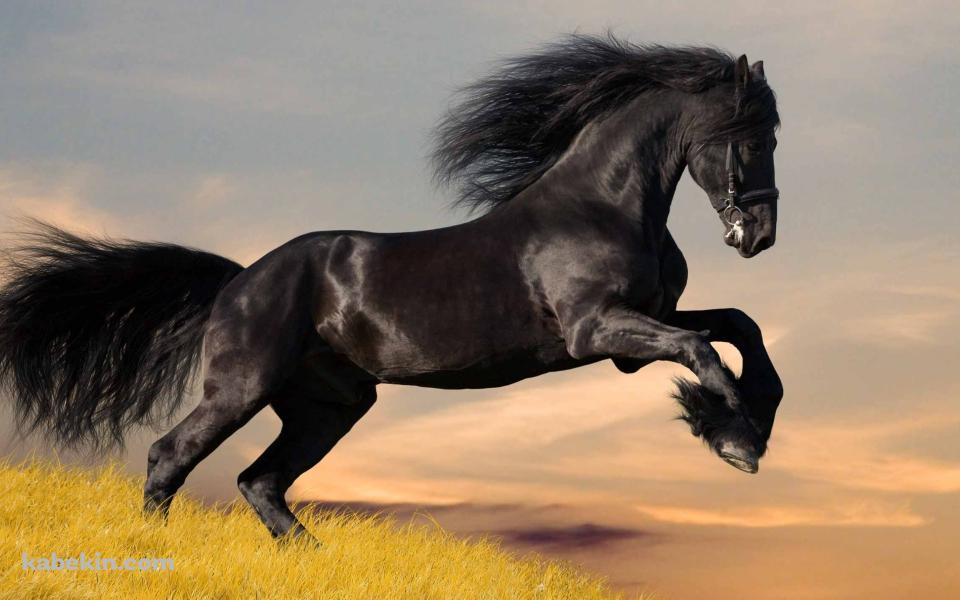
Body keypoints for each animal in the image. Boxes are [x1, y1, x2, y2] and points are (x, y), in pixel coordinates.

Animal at [0, 34, 783, 542]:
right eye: (752, 137)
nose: (759, 236)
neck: (603, 205)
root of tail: (239, 280)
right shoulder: (597, 330)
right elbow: (703, 351)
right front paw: (733, 438)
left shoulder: (640, 327)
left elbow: (738, 327)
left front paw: (746, 424)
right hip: (242, 387)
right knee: (171, 457)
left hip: (330, 406)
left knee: (261, 482)